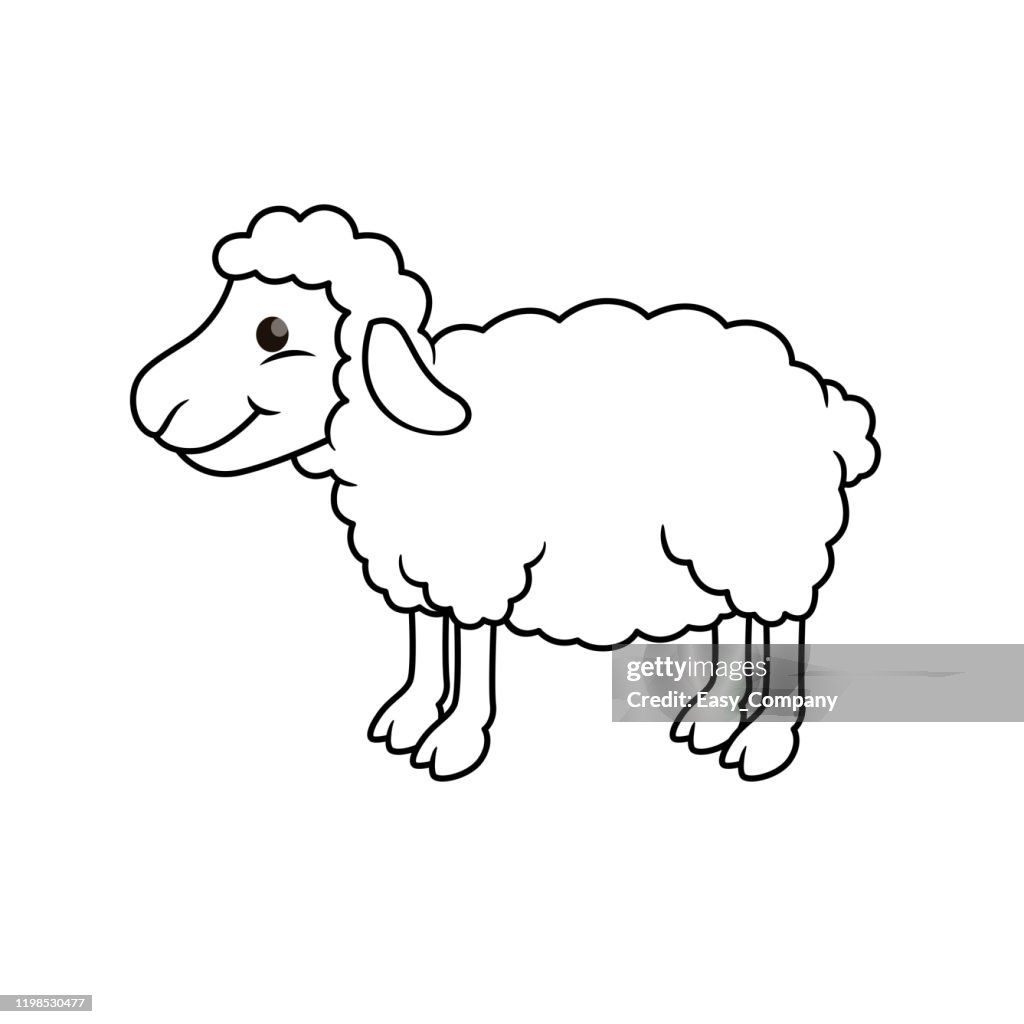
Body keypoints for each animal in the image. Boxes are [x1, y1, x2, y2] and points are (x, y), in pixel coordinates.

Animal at [130, 205, 880, 782]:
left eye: (274, 333)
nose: (149, 403)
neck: (394, 436)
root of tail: (829, 408)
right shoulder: (415, 566)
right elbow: (426, 645)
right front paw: (407, 721)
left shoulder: (475, 567)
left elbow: (467, 660)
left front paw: (452, 741)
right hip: (709, 555)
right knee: (731, 626)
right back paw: (711, 717)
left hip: (767, 549)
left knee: (778, 627)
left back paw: (763, 740)